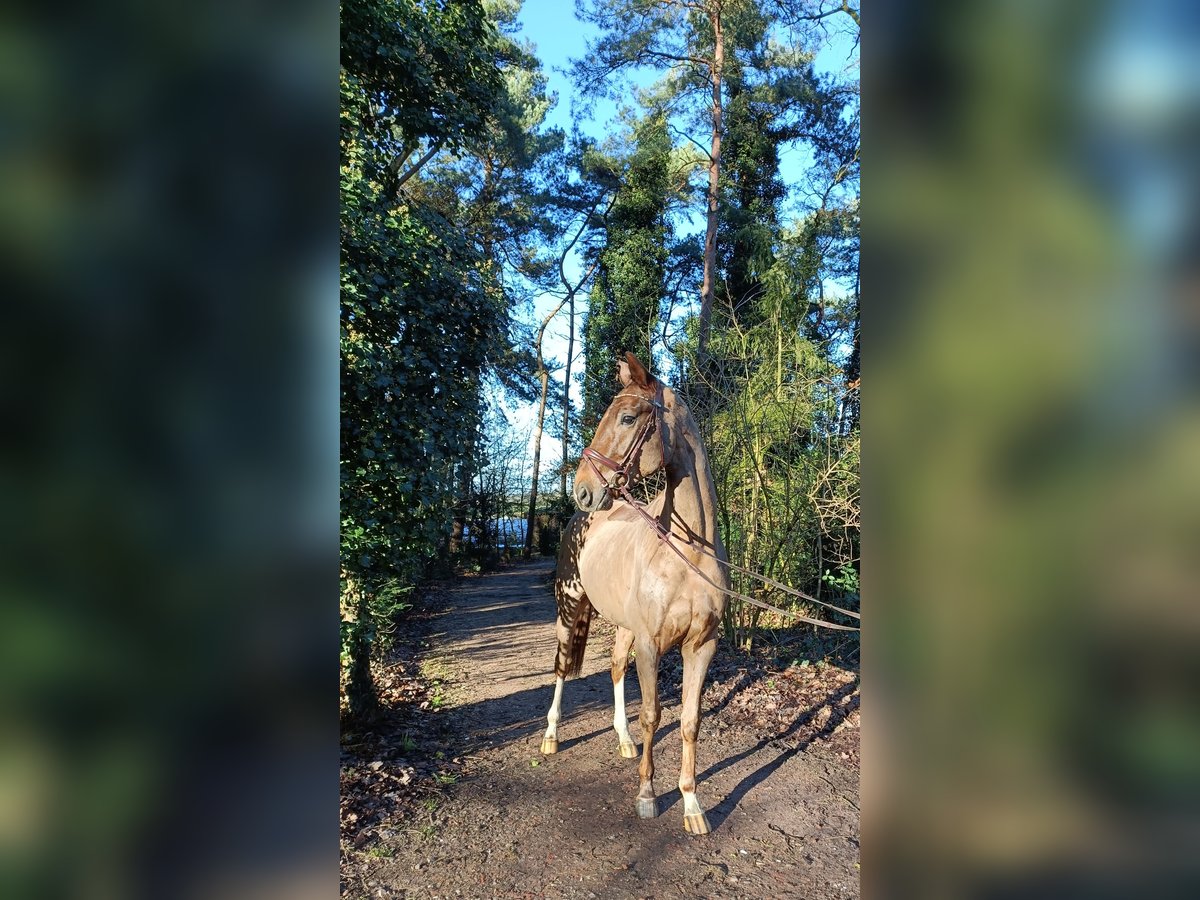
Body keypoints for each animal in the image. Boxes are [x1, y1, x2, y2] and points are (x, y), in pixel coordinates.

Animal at [540, 355, 724, 840]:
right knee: (562, 668)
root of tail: (579, 520)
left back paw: (622, 740)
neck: (686, 552)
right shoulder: (651, 644)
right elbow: (653, 716)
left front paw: (691, 804)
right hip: (569, 609)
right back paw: (551, 736)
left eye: (626, 418)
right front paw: (647, 796)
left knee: (615, 667)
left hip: (622, 625)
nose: (583, 489)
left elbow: (689, 721)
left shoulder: (702, 646)